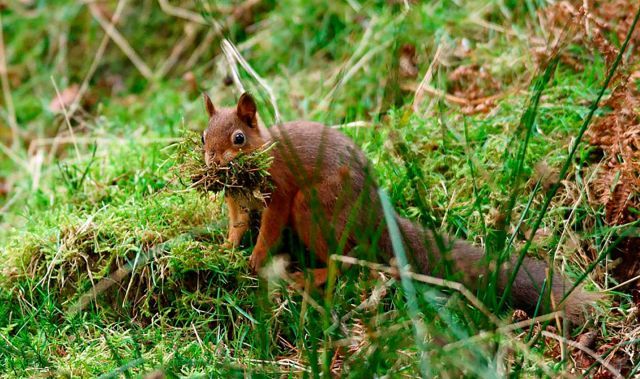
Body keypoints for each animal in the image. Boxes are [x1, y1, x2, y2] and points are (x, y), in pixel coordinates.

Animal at [202, 92, 596, 324]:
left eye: (239, 138)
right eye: (204, 135)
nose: (211, 162)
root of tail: (377, 214)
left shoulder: (280, 190)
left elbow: (270, 226)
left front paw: (256, 257)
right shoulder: (237, 203)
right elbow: (237, 225)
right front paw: (225, 248)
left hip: (313, 208)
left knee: (345, 262)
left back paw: (309, 277)